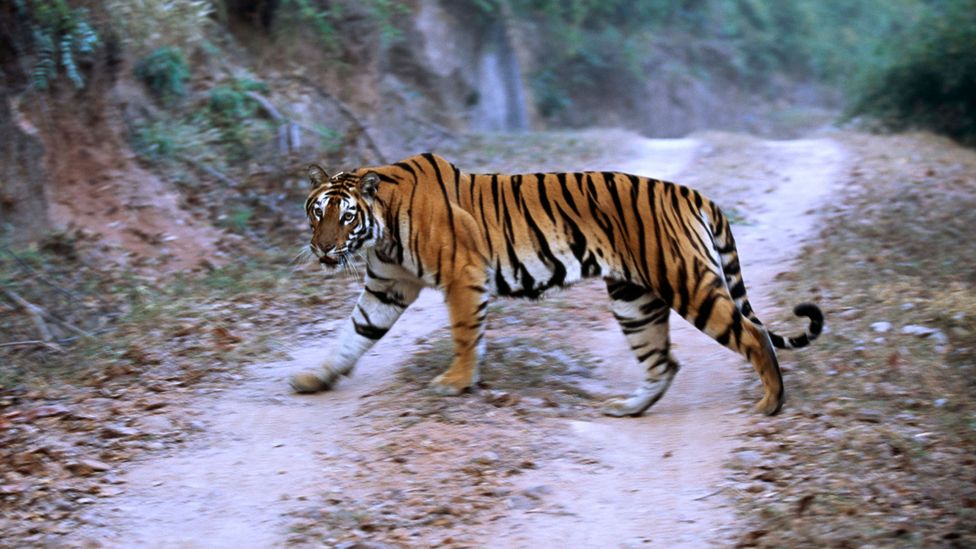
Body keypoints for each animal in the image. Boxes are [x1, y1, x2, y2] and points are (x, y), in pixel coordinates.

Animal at [290, 151, 824, 416]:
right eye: (318, 212)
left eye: (345, 216)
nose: (323, 248)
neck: (380, 232)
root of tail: (691, 192)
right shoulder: (387, 288)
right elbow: (352, 335)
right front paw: (316, 378)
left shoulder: (463, 276)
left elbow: (464, 334)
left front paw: (456, 383)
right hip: (633, 299)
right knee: (663, 362)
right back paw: (627, 409)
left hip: (685, 281)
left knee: (752, 334)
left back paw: (771, 403)